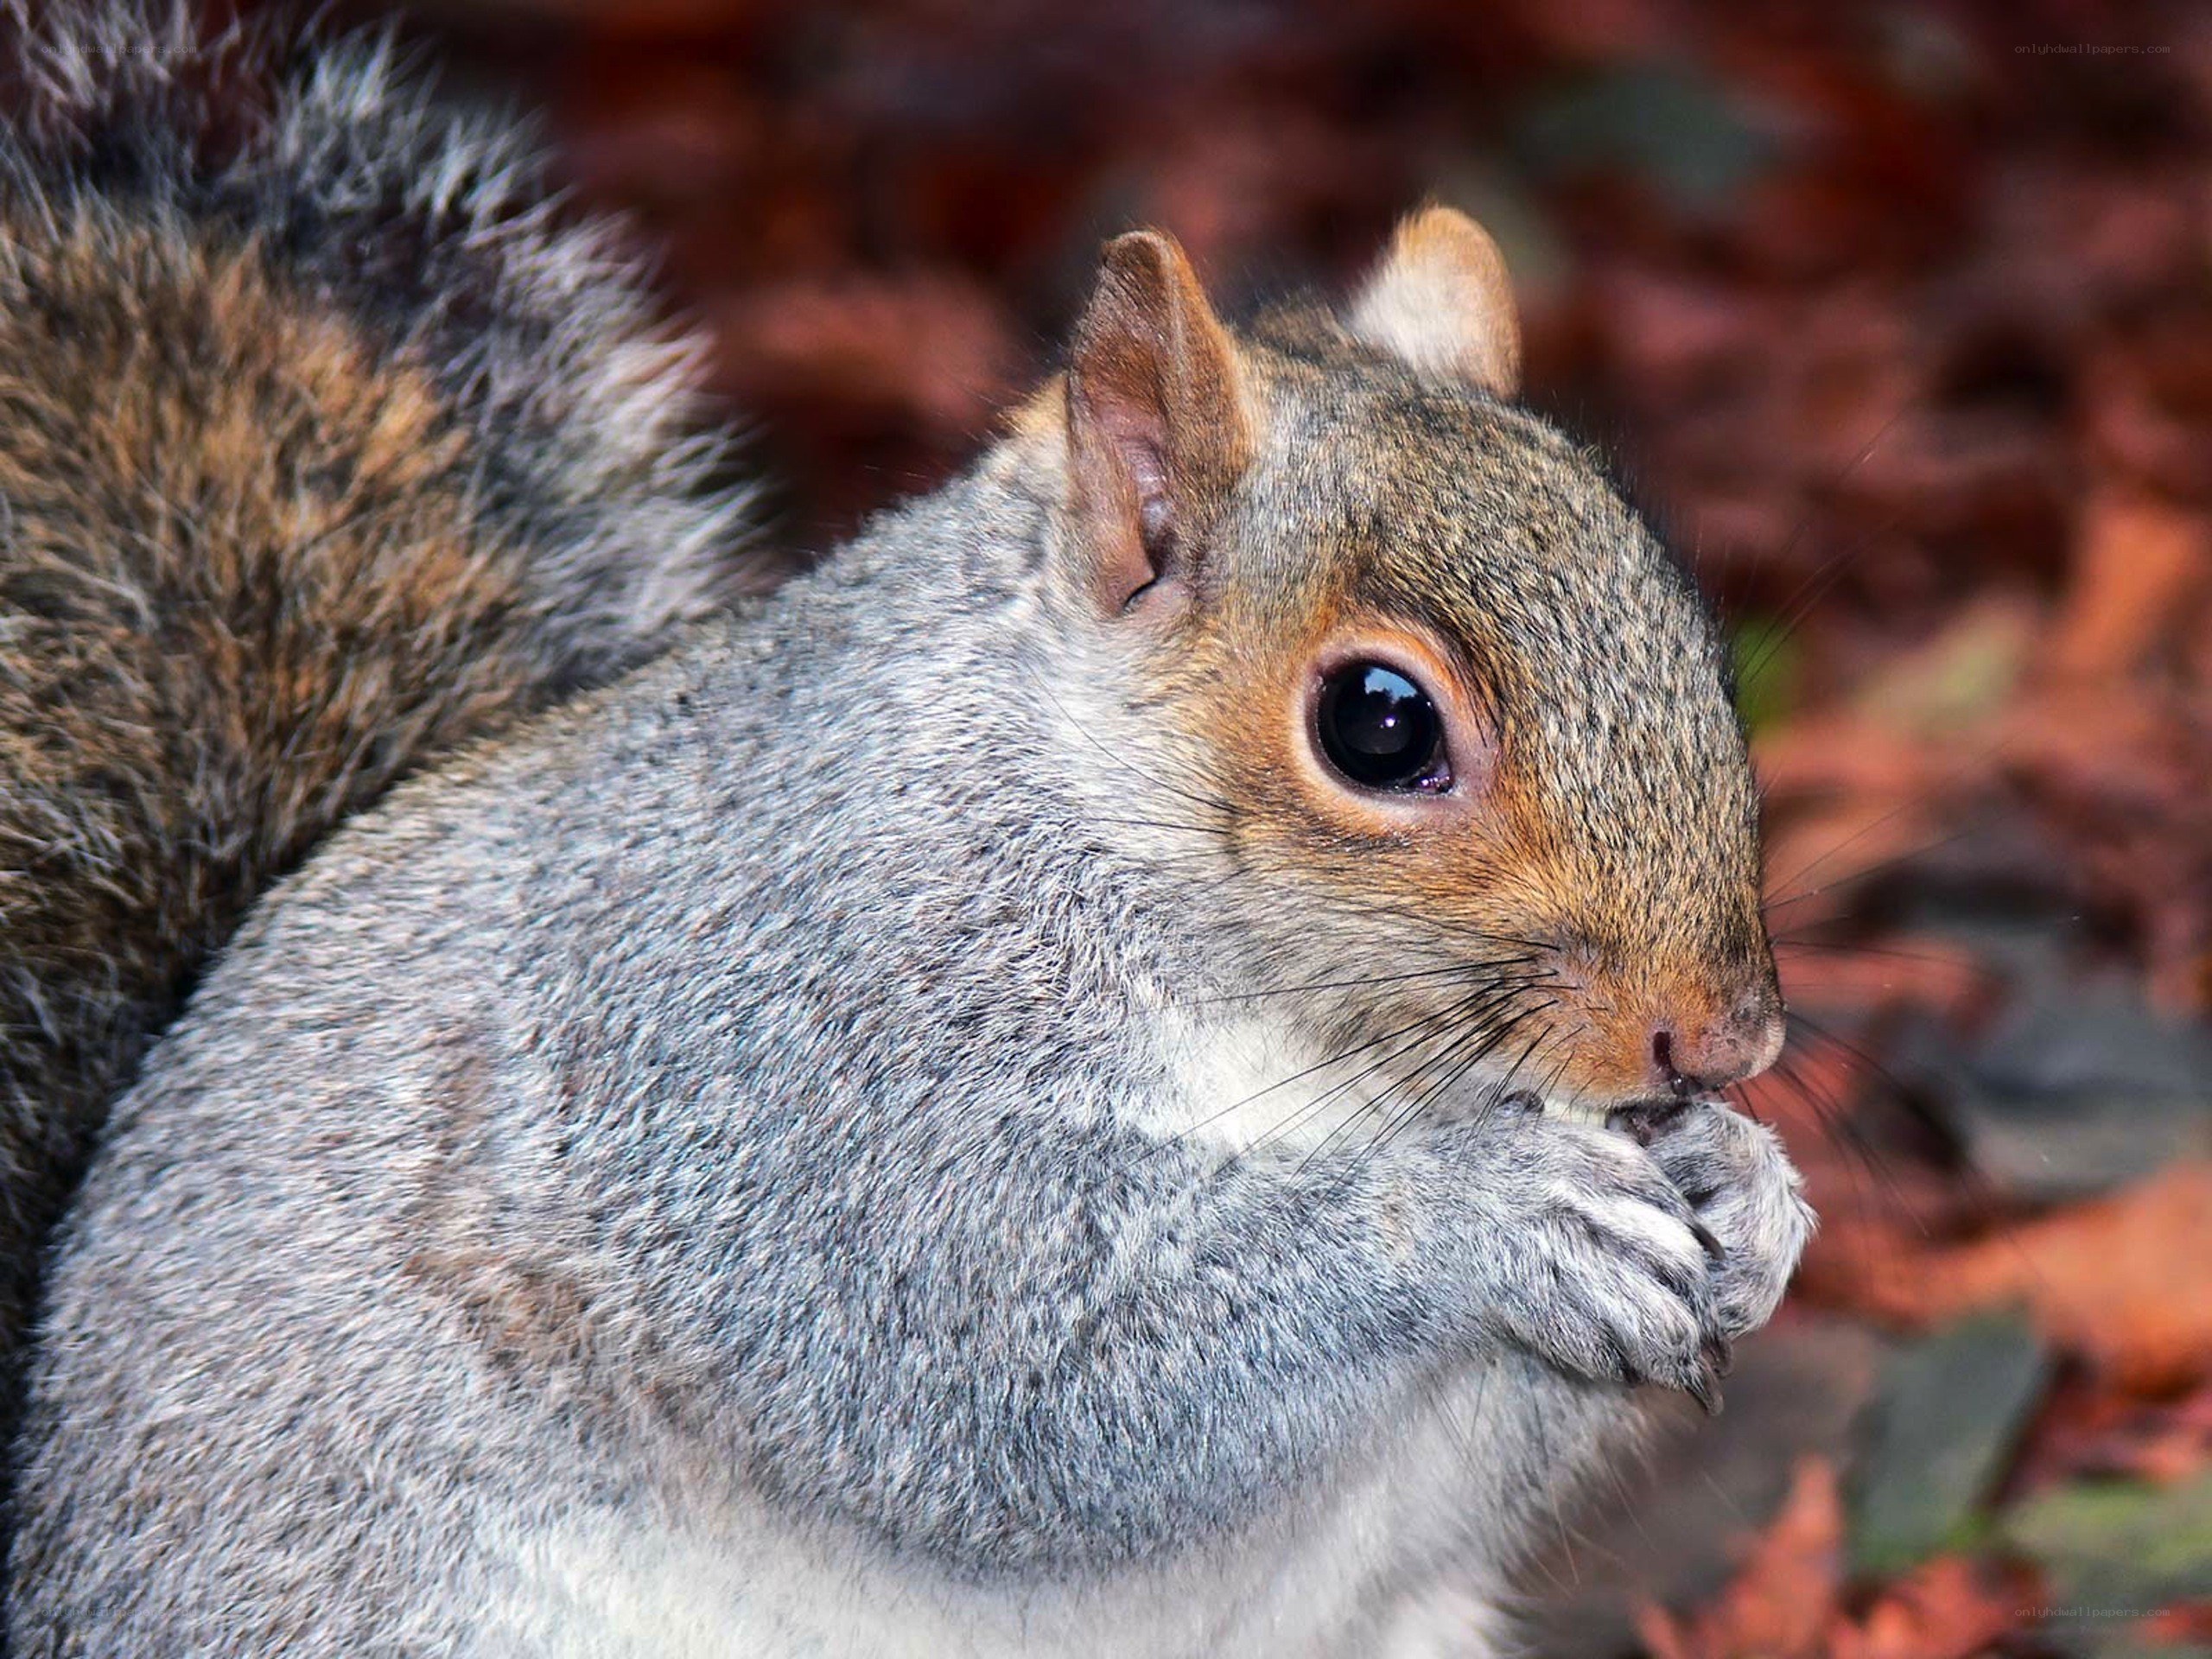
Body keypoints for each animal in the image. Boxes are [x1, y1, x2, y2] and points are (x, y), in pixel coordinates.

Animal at [3, 5, 1815, 1656]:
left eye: (1678, 607)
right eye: (1378, 724)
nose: (1723, 1039)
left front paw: (1752, 1193)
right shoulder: (786, 1074)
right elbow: (998, 1372)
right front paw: (1484, 1212)